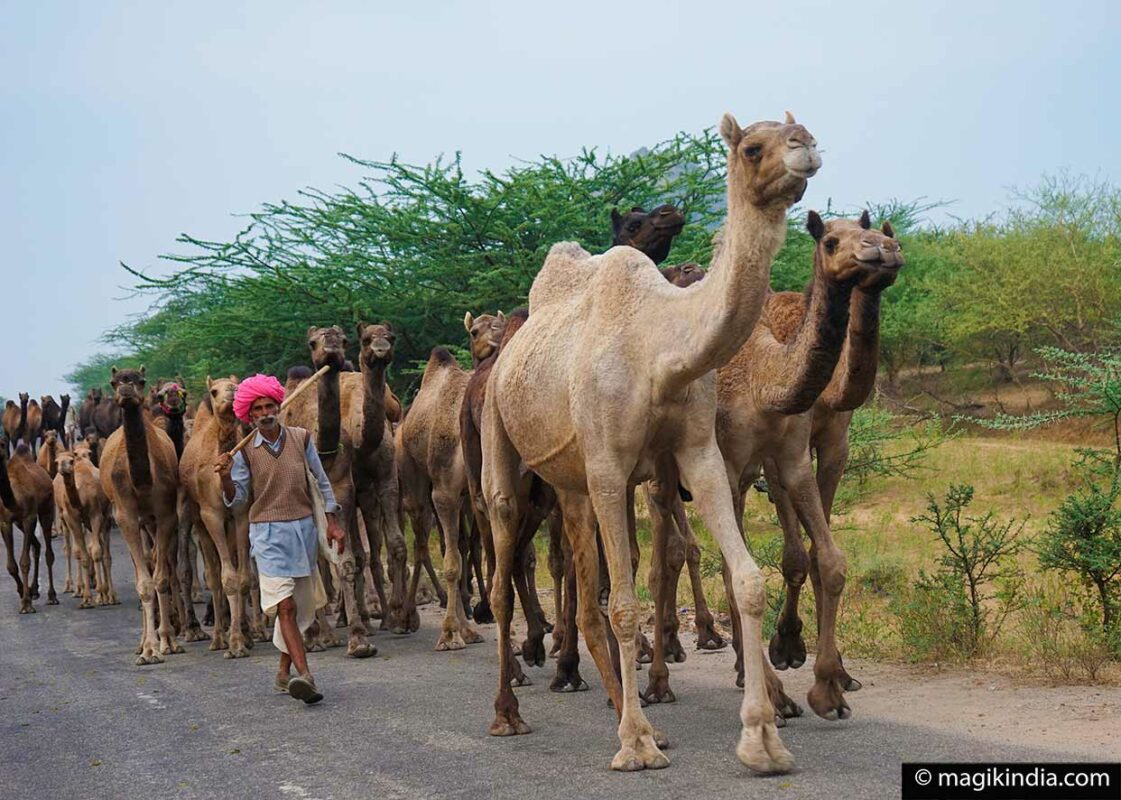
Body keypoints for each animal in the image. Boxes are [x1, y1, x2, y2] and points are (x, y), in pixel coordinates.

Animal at [0, 436, 57, 609]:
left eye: (2, 444)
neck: (15, 500)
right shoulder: (5, 522)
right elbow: (11, 565)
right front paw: (23, 592)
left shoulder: (29, 517)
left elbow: (24, 562)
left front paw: (26, 604)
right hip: (19, 523)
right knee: (36, 545)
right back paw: (35, 590)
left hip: (46, 509)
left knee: (48, 553)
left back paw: (52, 596)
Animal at [52, 441, 116, 605]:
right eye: (56, 462)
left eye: (71, 460)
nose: (63, 465)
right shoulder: (71, 518)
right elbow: (82, 554)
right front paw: (86, 597)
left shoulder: (95, 515)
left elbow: (96, 552)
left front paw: (100, 594)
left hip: (105, 517)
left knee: (105, 553)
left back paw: (111, 595)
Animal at [98, 365, 183, 658]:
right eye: (114, 381)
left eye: (141, 380)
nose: (126, 390)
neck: (143, 481)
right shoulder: (125, 517)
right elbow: (143, 583)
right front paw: (149, 650)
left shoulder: (166, 514)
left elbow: (161, 578)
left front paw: (167, 641)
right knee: (141, 567)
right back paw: (141, 643)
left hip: (152, 520)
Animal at [392, 309, 502, 645]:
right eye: (475, 331)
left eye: (500, 325)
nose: (495, 341)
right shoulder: (444, 492)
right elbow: (452, 562)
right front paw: (451, 632)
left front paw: (468, 624)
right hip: (412, 482)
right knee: (420, 545)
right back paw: (405, 617)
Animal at [477, 112, 820, 770]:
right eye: (752, 147)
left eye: (804, 131)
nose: (806, 148)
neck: (660, 347)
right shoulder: (610, 466)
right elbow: (626, 604)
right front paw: (635, 747)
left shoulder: (697, 451)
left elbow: (747, 580)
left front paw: (762, 738)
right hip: (499, 442)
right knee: (507, 576)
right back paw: (509, 713)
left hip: (572, 485)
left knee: (584, 597)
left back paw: (629, 715)